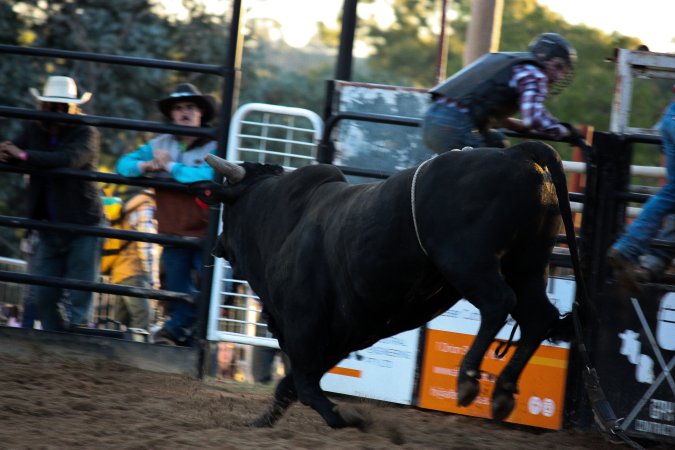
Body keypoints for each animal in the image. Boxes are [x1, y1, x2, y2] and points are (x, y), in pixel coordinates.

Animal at [192, 141, 583, 429]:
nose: (217, 245)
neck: (282, 221)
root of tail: (516, 152)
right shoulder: (345, 332)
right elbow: (292, 384)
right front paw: (260, 422)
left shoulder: (304, 325)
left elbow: (303, 383)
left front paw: (341, 415)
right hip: (527, 266)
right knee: (537, 319)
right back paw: (502, 392)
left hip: (469, 263)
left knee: (498, 303)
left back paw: (468, 379)